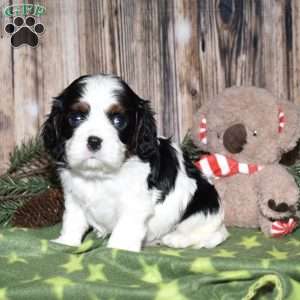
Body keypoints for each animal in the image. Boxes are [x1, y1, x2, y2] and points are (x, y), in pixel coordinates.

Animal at [42, 74, 229, 252]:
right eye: (76, 117)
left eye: (118, 121)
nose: (94, 141)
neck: (99, 175)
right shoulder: (74, 197)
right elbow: (73, 220)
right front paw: (66, 242)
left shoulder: (135, 202)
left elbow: (125, 228)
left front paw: (118, 248)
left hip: (203, 207)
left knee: (213, 235)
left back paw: (177, 239)